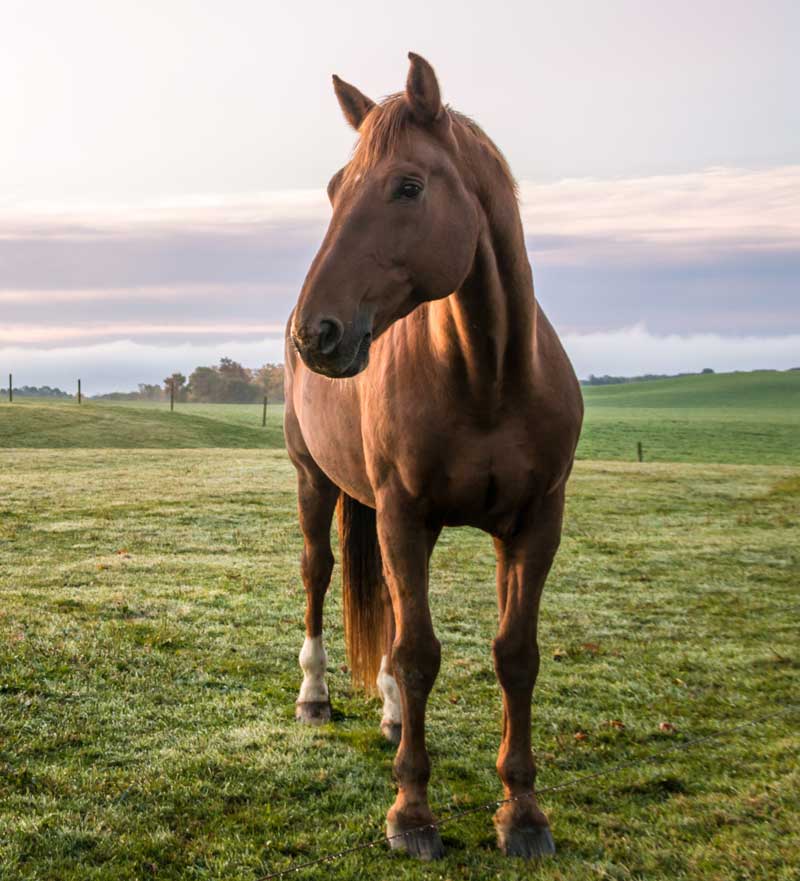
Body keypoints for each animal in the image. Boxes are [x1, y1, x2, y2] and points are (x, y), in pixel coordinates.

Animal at [284, 53, 584, 860]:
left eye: (409, 186)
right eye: (334, 188)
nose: (313, 333)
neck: (487, 376)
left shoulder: (535, 524)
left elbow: (515, 654)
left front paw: (523, 811)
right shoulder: (402, 515)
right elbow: (419, 654)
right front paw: (412, 812)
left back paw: (390, 716)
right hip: (315, 482)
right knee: (319, 575)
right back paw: (315, 696)